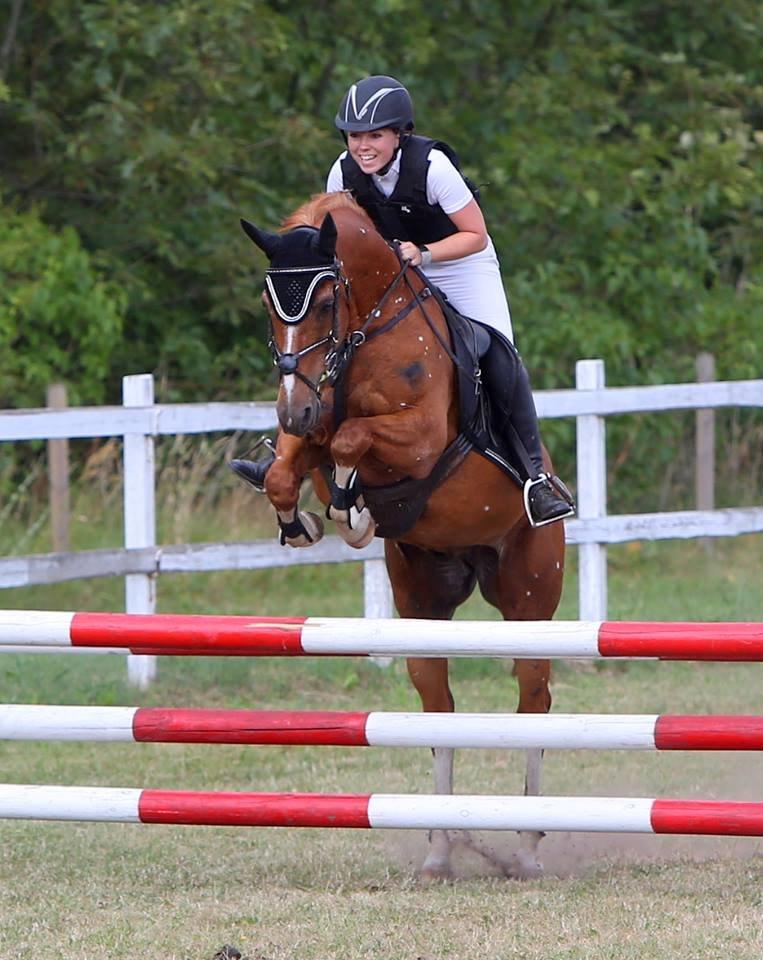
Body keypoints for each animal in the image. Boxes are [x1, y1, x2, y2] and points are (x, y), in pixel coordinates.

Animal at [240, 191, 568, 880]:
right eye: (267, 302)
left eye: (327, 301)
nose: (290, 408)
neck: (366, 331)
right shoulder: (309, 427)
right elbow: (290, 468)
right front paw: (309, 519)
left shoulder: (418, 439)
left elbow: (350, 439)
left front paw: (353, 510)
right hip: (422, 601)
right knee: (438, 710)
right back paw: (441, 848)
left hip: (529, 598)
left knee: (534, 701)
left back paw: (526, 848)